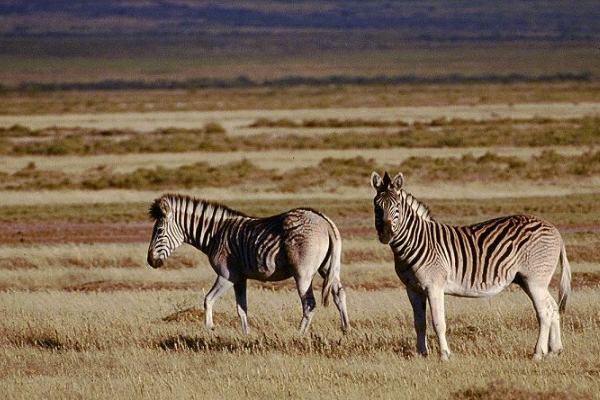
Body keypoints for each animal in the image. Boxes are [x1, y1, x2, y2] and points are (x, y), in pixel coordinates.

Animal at [147, 194, 350, 334]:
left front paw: (209, 328)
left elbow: (208, 299)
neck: (215, 235)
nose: (150, 261)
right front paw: (246, 334)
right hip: (328, 267)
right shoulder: (240, 278)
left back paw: (299, 334)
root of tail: (325, 221)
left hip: (303, 273)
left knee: (309, 303)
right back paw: (346, 329)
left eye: (159, 231)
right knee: (338, 293)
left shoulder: (226, 276)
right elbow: (241, 309)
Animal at [370, 170, 572, 360]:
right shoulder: (412, 289)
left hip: (535, 280)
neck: (416, 241)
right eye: (376, 206)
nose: (386, 234)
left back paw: (538, 353)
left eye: (397, 206)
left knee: (544, 312)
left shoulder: (434, 286)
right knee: (553, 307)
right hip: (529, 281)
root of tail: (555, 230)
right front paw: (421, 354)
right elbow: (419, 323)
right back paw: (555, 350)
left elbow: (438, 322)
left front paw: (444, 355)